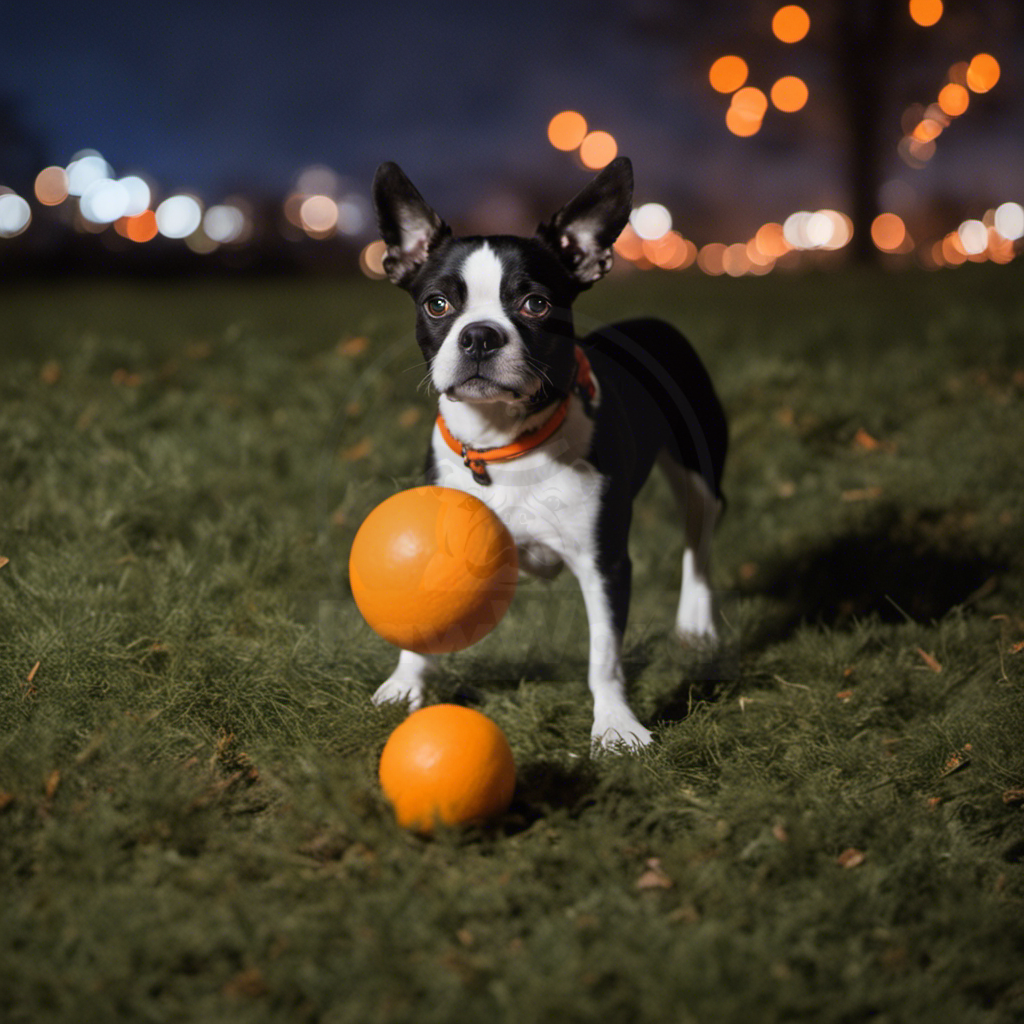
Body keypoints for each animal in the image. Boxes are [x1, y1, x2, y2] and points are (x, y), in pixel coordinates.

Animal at [368, 157, 729, 753]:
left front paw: (616, 725)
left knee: (699, 539)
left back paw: (697, 625)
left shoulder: (605, 563)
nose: (480, 335)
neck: (505, 447)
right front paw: (405, 683)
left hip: (699, 469)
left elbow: (604, 655)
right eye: (437, 305)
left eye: (535, 304)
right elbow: (423, 618)